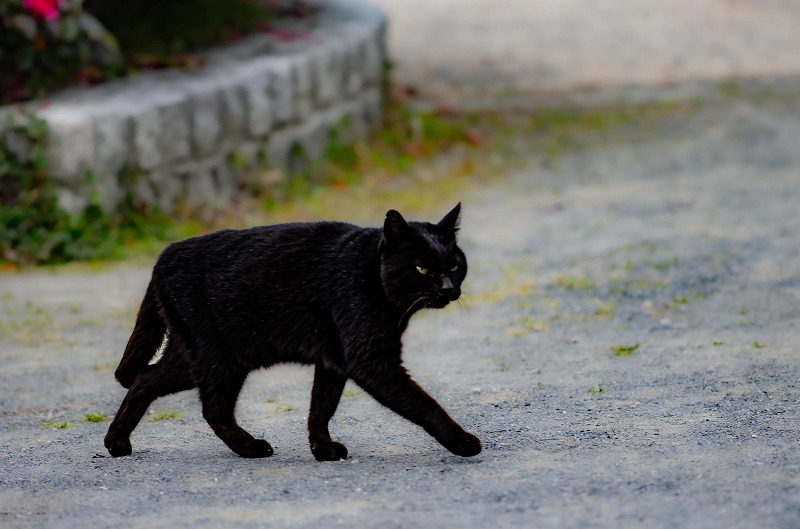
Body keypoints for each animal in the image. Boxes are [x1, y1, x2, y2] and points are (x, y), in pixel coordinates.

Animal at [105, 204, 482, 460]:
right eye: (421, 269)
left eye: (453, 266)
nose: (448, 289)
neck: (371, 276)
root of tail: (164, 256)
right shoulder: (371, 360)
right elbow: (424, 404)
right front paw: (462, 441)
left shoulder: (334, 362)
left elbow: (321, 408)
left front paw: (322, 449)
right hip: (218, 359)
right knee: (213, 409)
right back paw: (250, 447)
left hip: (194, 357)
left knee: (145, 378)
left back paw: (116, 443)